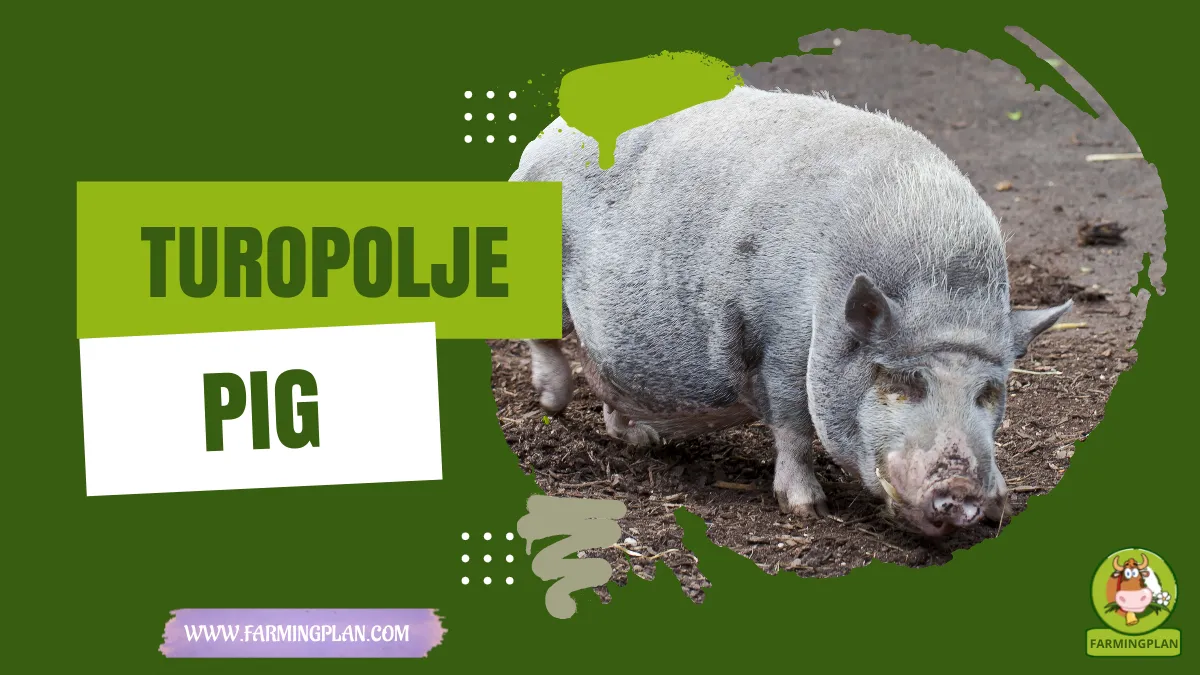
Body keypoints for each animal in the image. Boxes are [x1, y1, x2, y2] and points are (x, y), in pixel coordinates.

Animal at [509, 85, 1072, 537]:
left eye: (989, 392)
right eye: (899, 383)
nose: (961, 488)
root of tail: (544, 136)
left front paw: (1004, 504)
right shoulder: (780, 344)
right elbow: (794, 430)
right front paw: (808, 510)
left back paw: (643, 440)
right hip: (539, 275)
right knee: (543, 338)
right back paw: (553, 403)